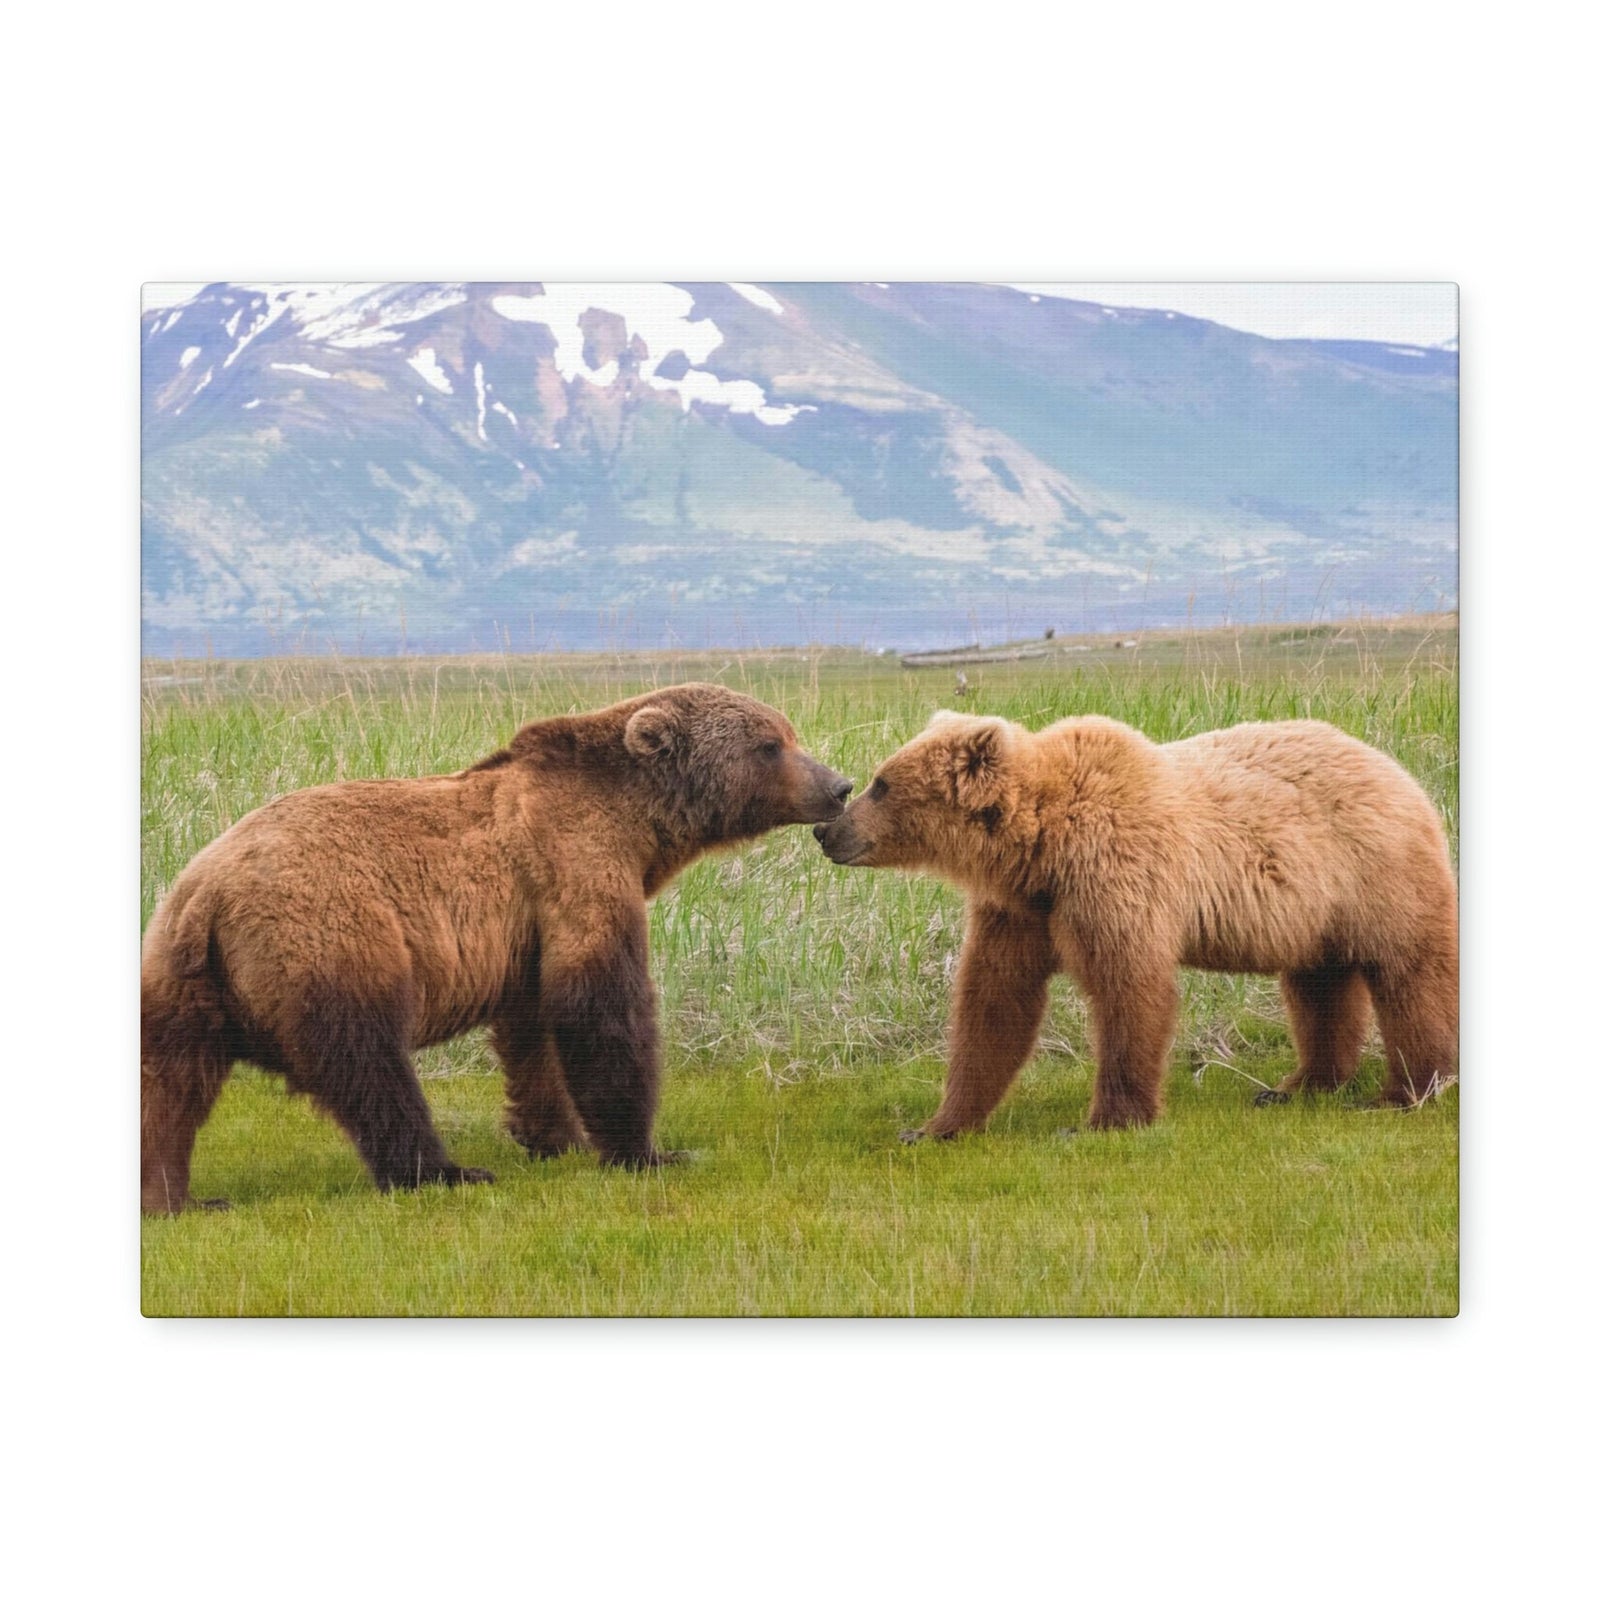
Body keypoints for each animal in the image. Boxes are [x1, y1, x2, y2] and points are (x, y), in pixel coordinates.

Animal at [141, 684, 852, 1213]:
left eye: (787, 734)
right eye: (770, 744)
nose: (839, 785)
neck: (637, 826)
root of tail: (207, 895)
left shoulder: (527, 932)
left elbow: (533, 1030)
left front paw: (556, 1135)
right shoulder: (576, 867)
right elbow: (600, 1008)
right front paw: (647, 1150)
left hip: (182, 980)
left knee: (169, 1086)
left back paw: (174, 1196)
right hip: (328, 939)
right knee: (369, 1065)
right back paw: (443, 1171)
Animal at [813, 711, 1457, 1138]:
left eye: (882, 784)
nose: (827, 830)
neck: (1041, 845)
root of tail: (1402, 774)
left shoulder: (1114, 876)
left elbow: (1129, 989)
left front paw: (1106, 1119)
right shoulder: (1024, 909)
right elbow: (995, 1001)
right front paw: (937, 1124)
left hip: (1375, 874)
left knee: (1409, 976)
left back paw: (1408, 1090)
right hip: (1313, 911)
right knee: (1319, 986)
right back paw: (1297, 1086)